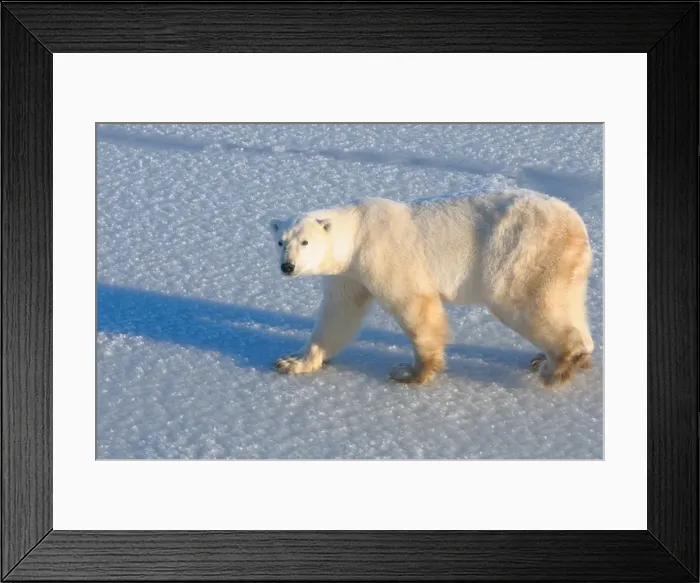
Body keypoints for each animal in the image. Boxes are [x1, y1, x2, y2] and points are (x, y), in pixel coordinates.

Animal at [268, 188, 594, 387]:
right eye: (281, 242)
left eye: (305, 242)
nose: (287, 267)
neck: (357, 233)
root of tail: (575, 224)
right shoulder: (349, 275)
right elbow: (338, 314)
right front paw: (293, 361)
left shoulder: (383, 256)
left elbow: (414, 306)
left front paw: (410, 372)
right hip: (562, 265)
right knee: (568, 303)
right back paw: (555, 356)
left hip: (520, 253)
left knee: (521, 302)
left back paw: (556, 365)